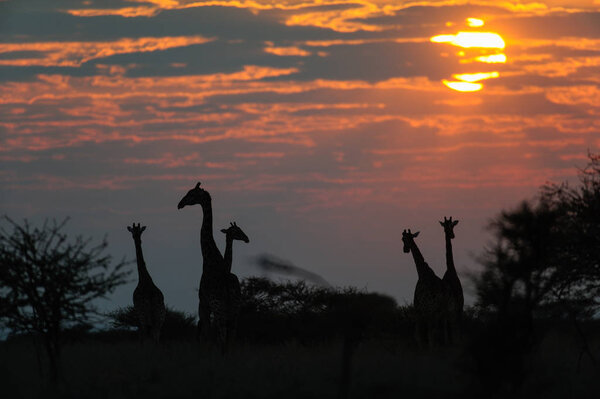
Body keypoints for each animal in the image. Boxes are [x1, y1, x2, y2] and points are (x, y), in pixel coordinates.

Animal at [177, 183, 231, 352]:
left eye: (191, 194)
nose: (179, 204)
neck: (209, 256)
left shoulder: (203, 302)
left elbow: (206, 332)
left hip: (217, 305)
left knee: (221, 330)